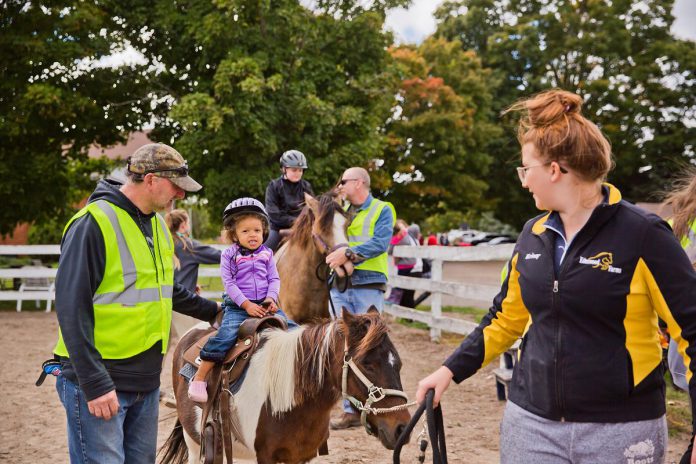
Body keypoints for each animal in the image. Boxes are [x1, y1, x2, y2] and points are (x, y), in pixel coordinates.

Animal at [160, 306, 410, 462]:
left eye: (398, 363)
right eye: (367, 363)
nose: (402, 428)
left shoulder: (300, 457)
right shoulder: (265, 456)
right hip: (195, 442)